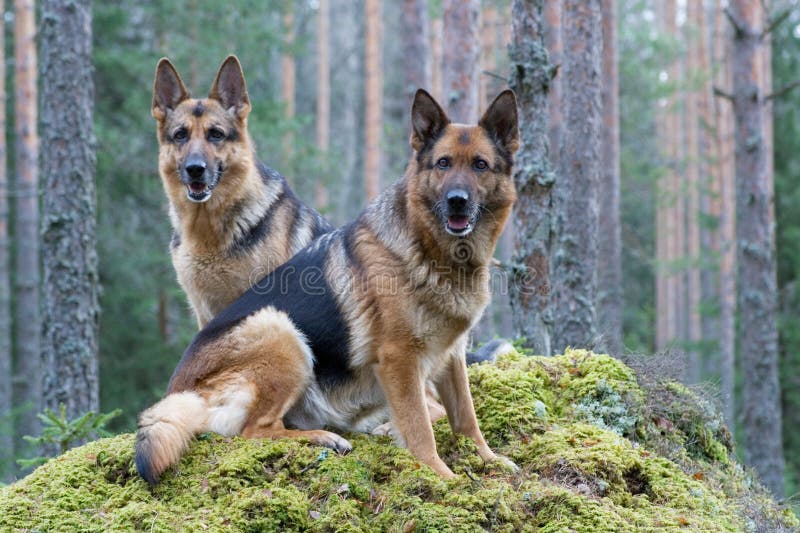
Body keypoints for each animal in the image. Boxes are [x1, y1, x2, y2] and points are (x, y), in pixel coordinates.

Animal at [136, 88, 520, 482]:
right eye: (443, 163)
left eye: (480, 165)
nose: (457, 201)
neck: (432, 250)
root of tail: (180, 393)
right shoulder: (399, 361)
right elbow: (420, 430)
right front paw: (442, 477)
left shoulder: (452, 355)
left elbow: (466, 417)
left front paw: (488, 459)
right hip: (279, 330)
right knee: (254, 430)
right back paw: (324, 437)